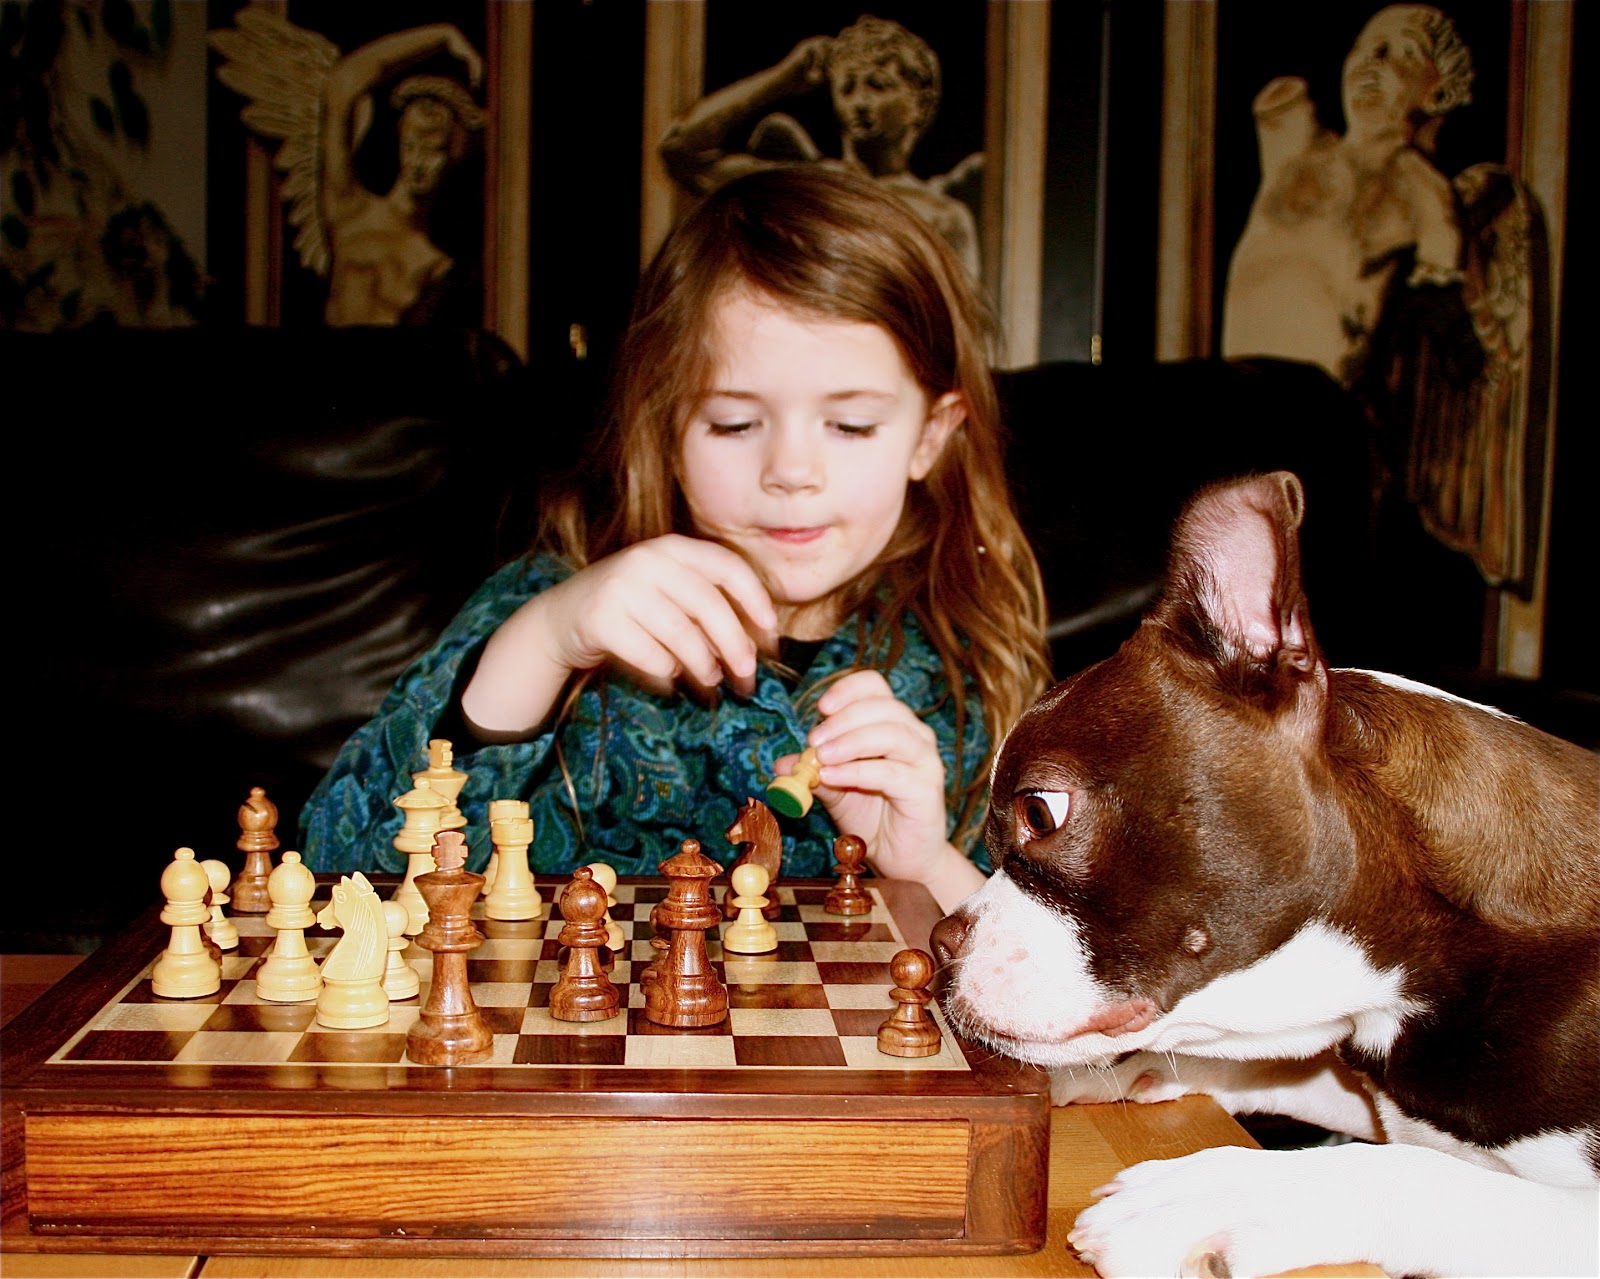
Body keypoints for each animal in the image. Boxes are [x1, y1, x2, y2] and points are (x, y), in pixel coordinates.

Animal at [932, 472, 1598, 1278]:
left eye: (1040, 812)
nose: (938, 941)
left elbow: (1418, 1175)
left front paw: (1217, 1193)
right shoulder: (1374, 1100)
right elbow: (1271, 1071)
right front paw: (1119, 1072)